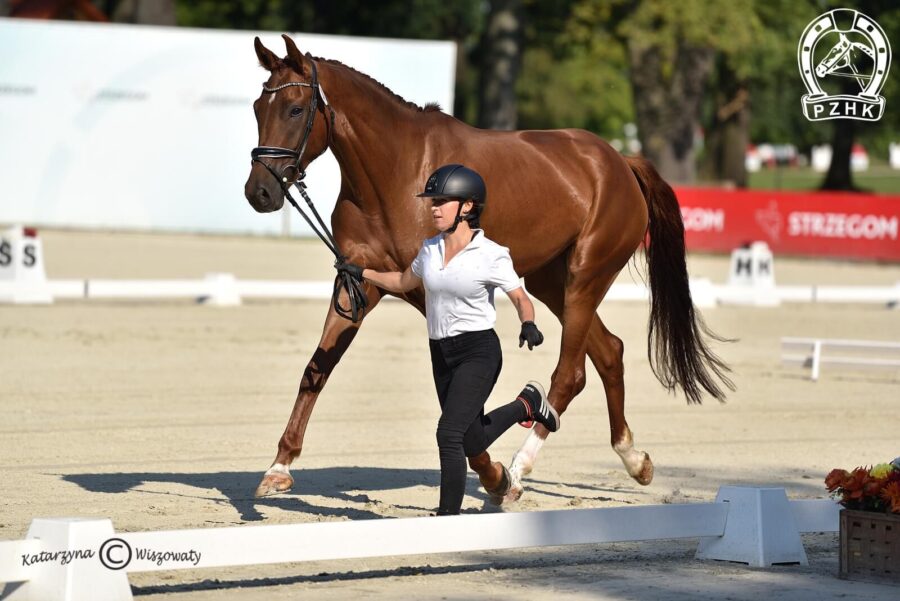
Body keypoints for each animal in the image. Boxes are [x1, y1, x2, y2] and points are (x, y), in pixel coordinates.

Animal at [244, 36, 732, 502]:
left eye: (295, 109)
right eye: (256, 108)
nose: (260, 192)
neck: (395, 171)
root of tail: (620, 162)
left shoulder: (427, 296)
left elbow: (459, 397)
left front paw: (493, 473)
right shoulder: (357, 284)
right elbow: (316, 369)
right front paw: (278, 468)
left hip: (585, 277)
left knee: (569, 375)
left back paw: (518, 469)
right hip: (551, 283)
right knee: (609, 352)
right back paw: (634, 460)